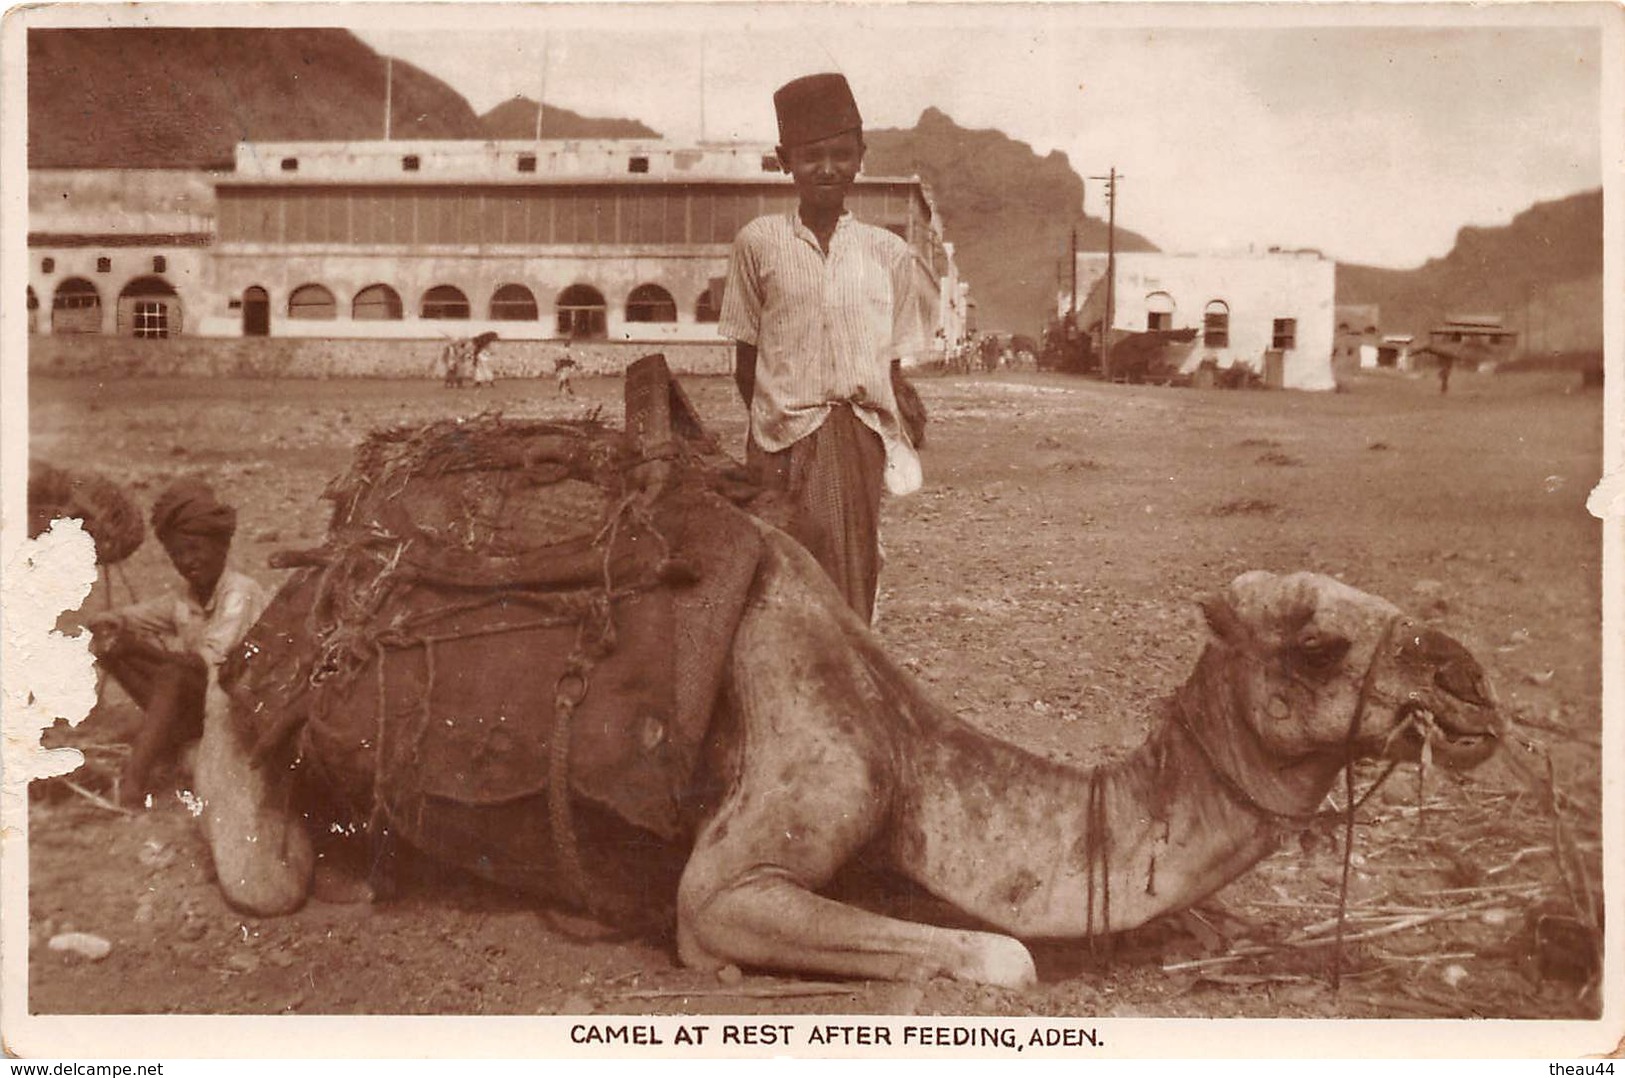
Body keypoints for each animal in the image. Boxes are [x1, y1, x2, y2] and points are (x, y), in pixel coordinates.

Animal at [193, 504, 1495, 988]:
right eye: (1319, 644)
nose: (1473, 686)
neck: (910, 753)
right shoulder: (757, 851)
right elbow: (1003, 959)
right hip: (273, 742)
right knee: (257, 853)